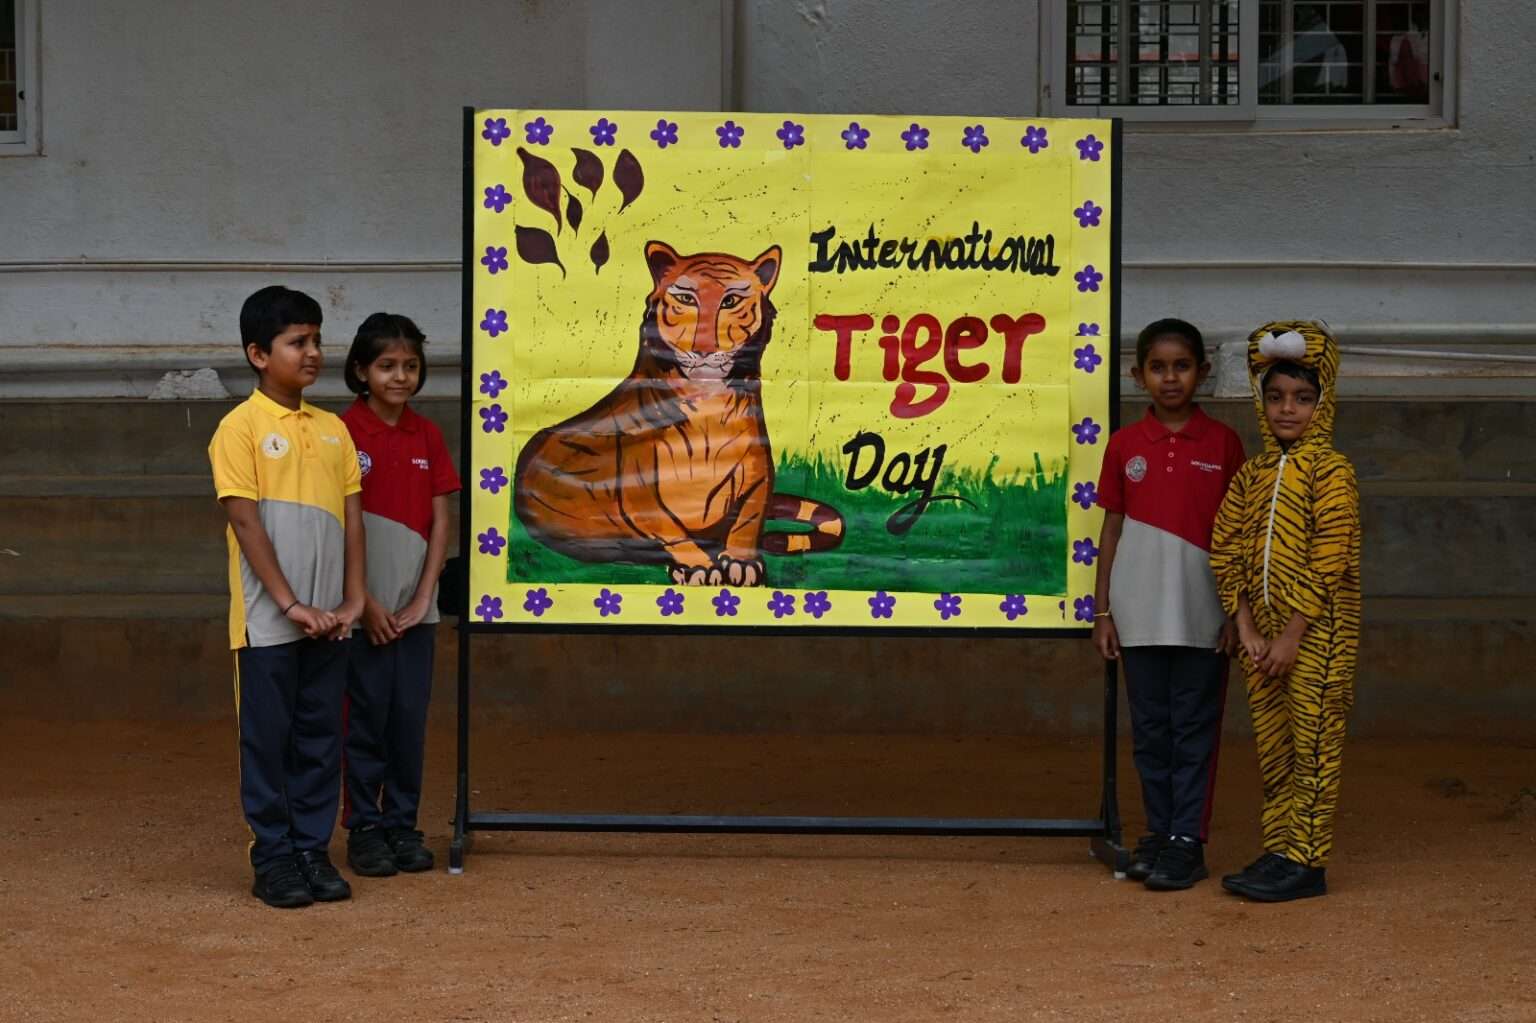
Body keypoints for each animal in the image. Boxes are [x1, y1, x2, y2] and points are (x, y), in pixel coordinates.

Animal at [512, 240, 844, 586]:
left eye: (731, 300)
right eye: (686, 299)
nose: (704, 350)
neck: (710, 407)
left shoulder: (759, 474)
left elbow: (749, 519)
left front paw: (741, 562)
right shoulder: (638, 487)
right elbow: (667, 525)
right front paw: (699, 567)